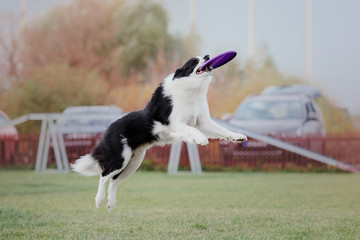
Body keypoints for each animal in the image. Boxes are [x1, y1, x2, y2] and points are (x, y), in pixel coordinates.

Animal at [71, 55, 246, 211]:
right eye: (194, 61)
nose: (208, 56)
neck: (192, 90)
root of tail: (109, 128)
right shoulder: (176, 122)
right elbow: (193, 129)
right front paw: (200, 138)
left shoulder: (204, 122)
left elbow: (222, 130)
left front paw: (238, 137)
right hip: (120, 158)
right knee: (103, 175)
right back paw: (99, 200)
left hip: (133, 163)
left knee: (113, 182)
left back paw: (110, 204)